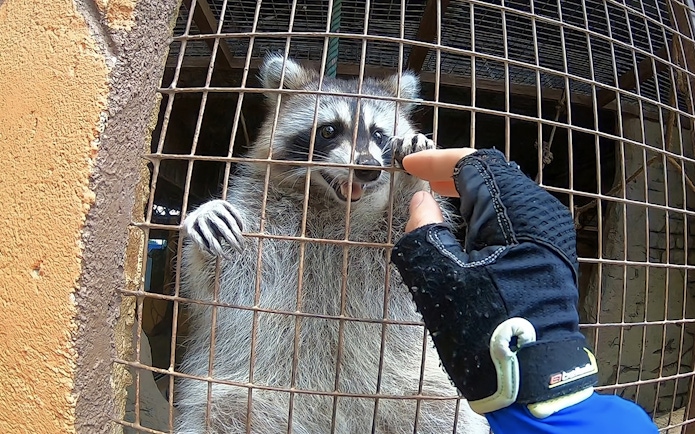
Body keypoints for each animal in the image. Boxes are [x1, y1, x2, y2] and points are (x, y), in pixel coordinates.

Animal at [174, 54, 490, 434]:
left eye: (379, 135)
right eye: (329, 130)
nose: (368, 168)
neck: (332, 205)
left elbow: (395, 266)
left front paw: (410, 181)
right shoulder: (269, 217)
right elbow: (235, 276)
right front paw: (209, 218)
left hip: (411, 386)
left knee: (444, 413)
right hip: (246, 391)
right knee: (221, 413)